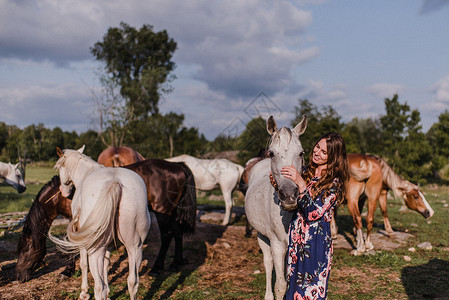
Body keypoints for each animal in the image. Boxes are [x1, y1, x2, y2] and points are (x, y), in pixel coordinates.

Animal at [48, 146, 150, 300]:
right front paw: (108, 293)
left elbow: (84, 264)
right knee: (133, 282)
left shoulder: (84, 240)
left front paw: (84, 292)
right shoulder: (108, 245)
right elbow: (106, 265)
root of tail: (115, 182)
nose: (63, 191)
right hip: (135, 247)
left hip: (96, 249)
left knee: (99, 287)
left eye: (60, 167)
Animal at [242, 115, 308, 300]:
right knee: (268, 262)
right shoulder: (277, 245)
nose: (290, 195)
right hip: (262, 236)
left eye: (301, 153)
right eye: (271, 153)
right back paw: (268, 295)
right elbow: (280, 285)